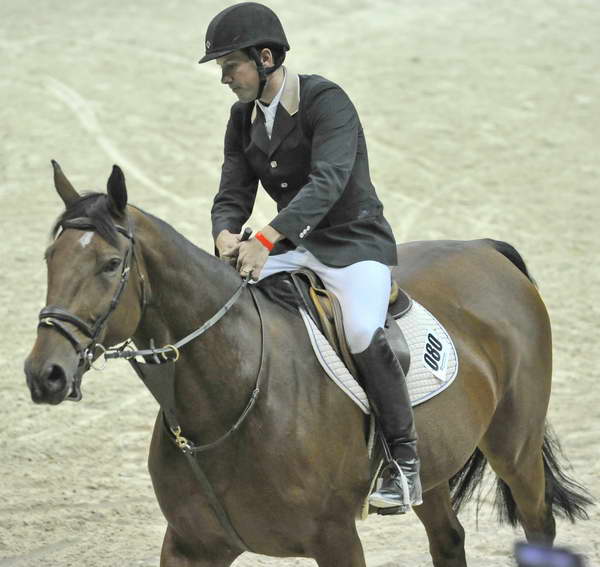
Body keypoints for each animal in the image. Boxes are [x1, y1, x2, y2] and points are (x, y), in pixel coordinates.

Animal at [24, 162, 592, 564]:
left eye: (110, 265)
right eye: (50, 258)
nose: (43, 375)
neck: (231, 398)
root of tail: (485, 249)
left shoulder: (335, 539)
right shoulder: (190, 544)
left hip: (515, 445)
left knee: (539, 527)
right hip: (433, 469)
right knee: (448, 540)